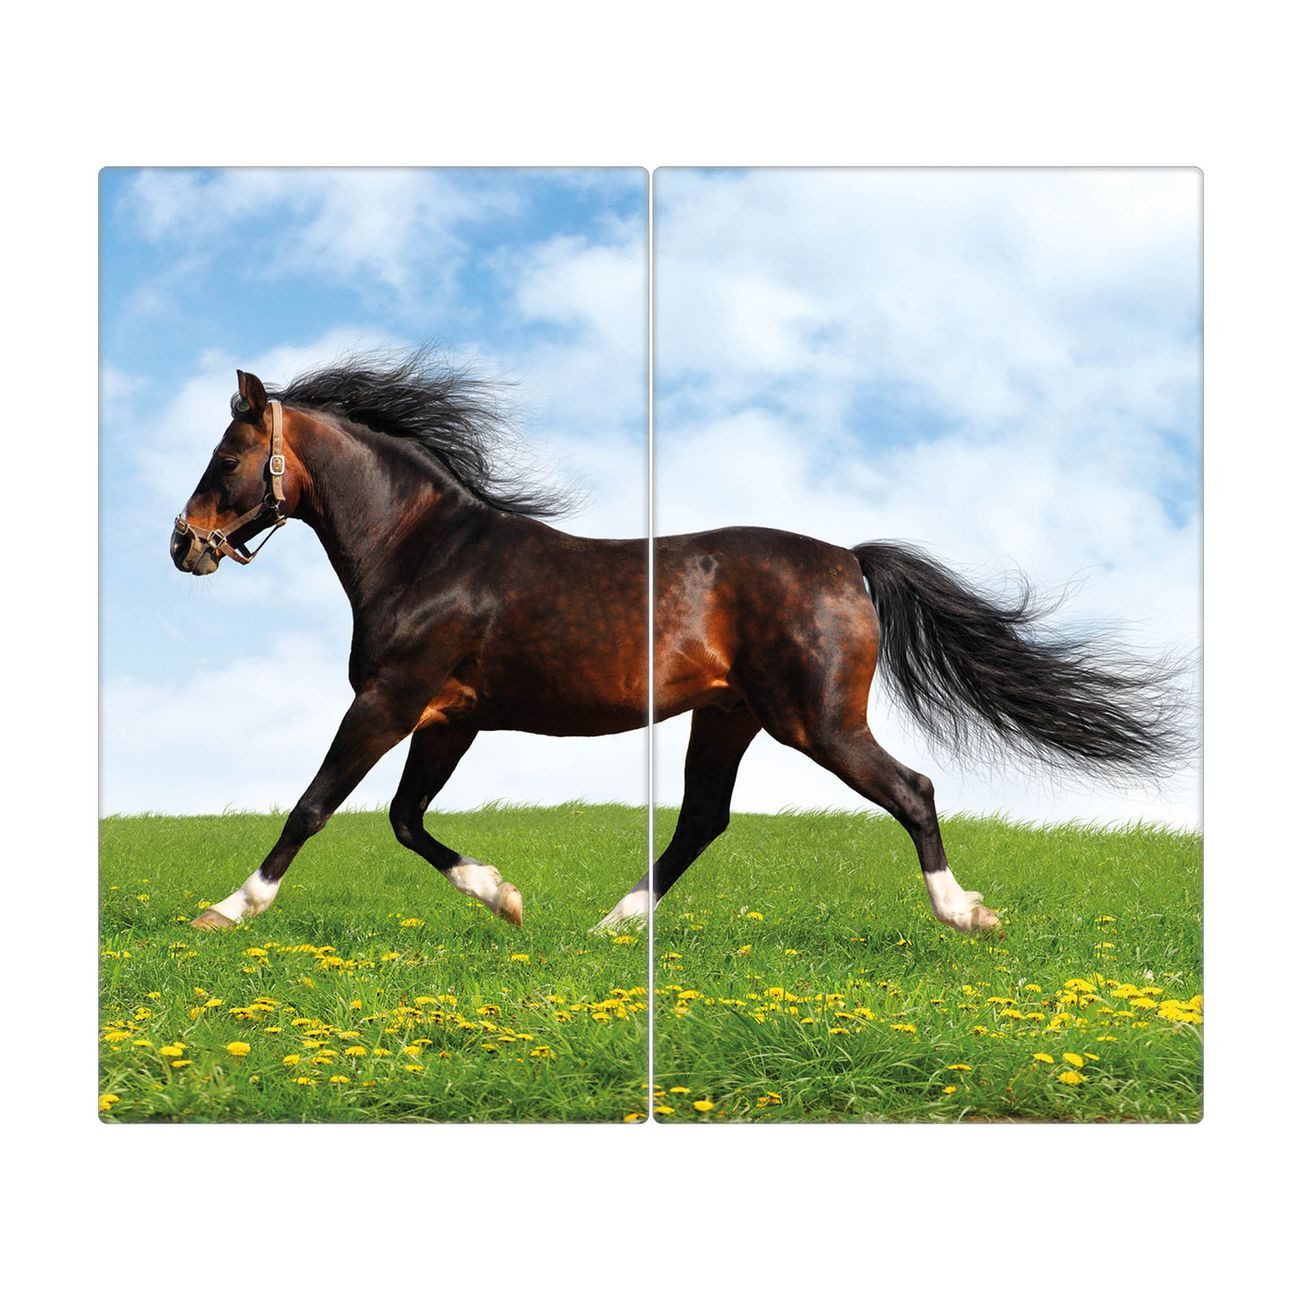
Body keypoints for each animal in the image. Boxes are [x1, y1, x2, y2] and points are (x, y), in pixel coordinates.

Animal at [172, 350, 1184, 936]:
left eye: (227, 459)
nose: (183, 544)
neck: (426, 552)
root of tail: (850, 561)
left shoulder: (388, 701)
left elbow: (316, 807)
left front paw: (226, 910)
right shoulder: (449, 718)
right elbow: (404, 820)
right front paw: (506, 898)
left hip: (817, 722)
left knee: (912, 791)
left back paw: (966, 914)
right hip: (728, 718)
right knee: (703, 819)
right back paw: (613, 924)